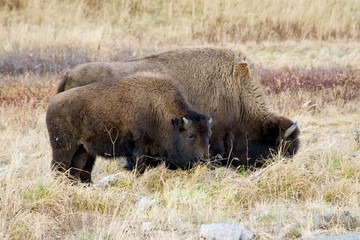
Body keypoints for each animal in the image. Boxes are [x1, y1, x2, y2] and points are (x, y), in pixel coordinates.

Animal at [46, 73, 212, 182]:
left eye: (208, 135)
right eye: (191, 135)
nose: (204, 159)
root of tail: (52, 103)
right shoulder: (138, 149)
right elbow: (138, 168)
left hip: (83, 150)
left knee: (76, 169)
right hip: (64, 148)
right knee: (59, 168)